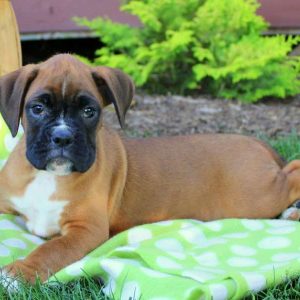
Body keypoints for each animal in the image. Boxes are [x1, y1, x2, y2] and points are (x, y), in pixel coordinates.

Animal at [0, 54, 300, 284]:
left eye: (89, 112)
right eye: (37, 108)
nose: (62, 138)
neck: (47, 176)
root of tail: (257, 143)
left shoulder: (86, 230)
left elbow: (52, 249)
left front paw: (19, 273)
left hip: (257, 195)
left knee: (293, 171)